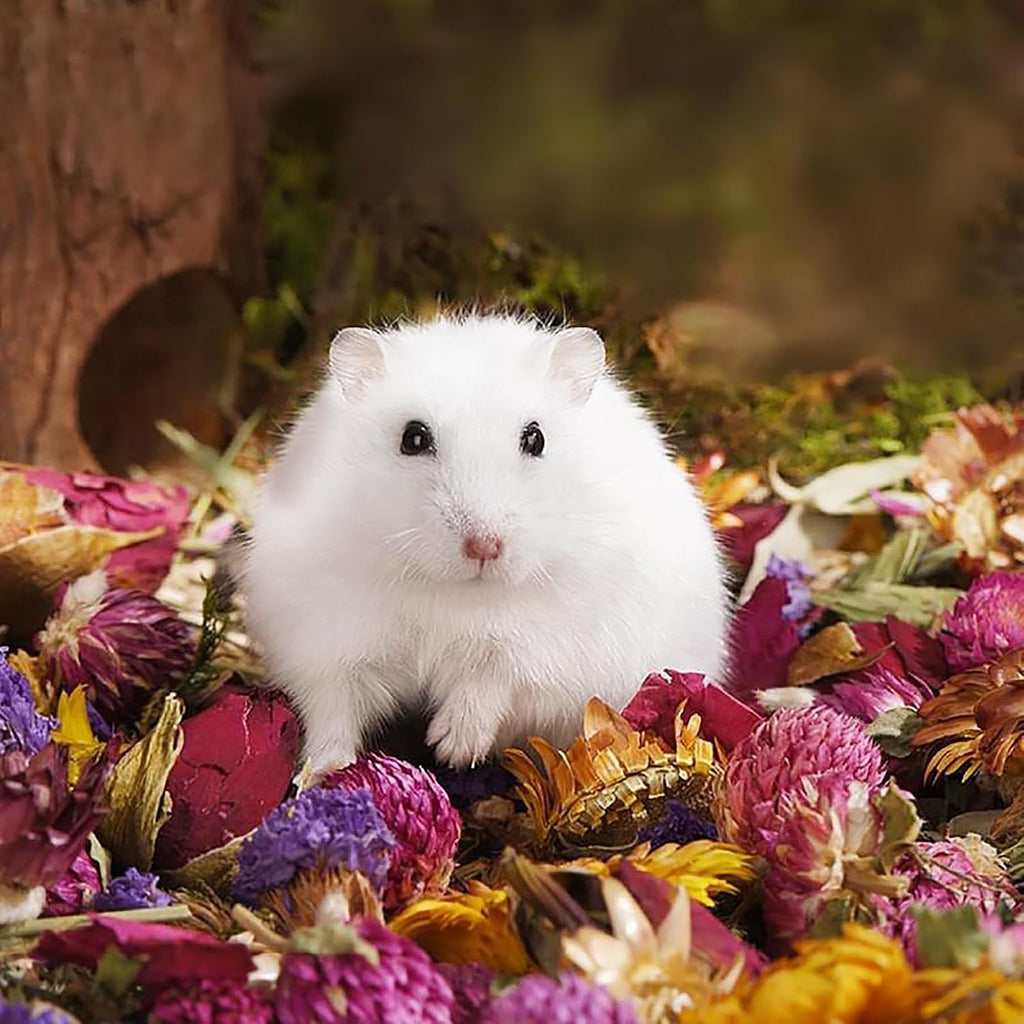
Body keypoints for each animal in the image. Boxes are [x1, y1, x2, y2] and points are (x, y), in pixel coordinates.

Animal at [244, 313, 729, 773]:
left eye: (535, 437)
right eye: (413, 437)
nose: (484, 547)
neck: (451, 591)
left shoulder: (551, 642)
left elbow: (495, 676)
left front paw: (451, 748)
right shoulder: (325, 637)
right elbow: (333, 708)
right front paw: (325, 773)